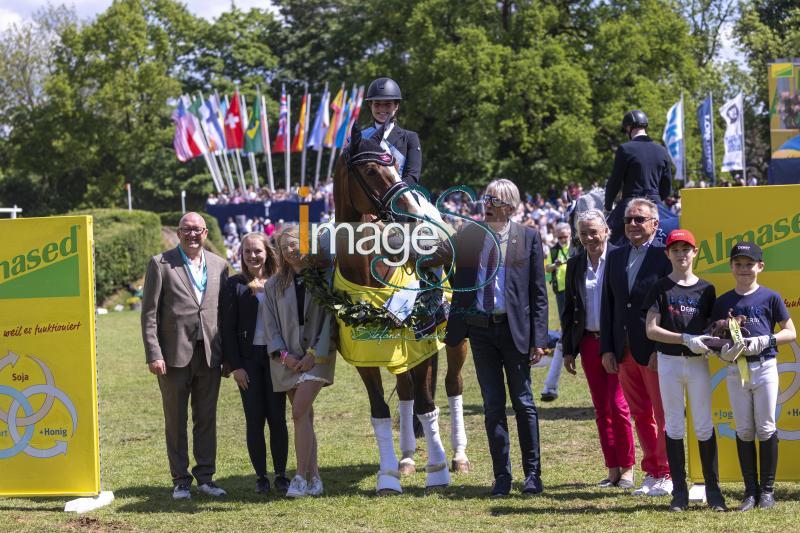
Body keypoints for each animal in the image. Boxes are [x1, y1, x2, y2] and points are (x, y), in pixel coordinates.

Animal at [324, 122, 462, 492]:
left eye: (397, 167)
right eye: (372, 170)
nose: (413, 214)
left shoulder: (419, 345)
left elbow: (428, 407)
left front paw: (438, 471)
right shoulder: (364, 357)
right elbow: (380, 412)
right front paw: (388, 476)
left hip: (454, 342)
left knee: (452, 387)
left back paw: (458, 456)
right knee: (406, 392)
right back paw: (407, 459)